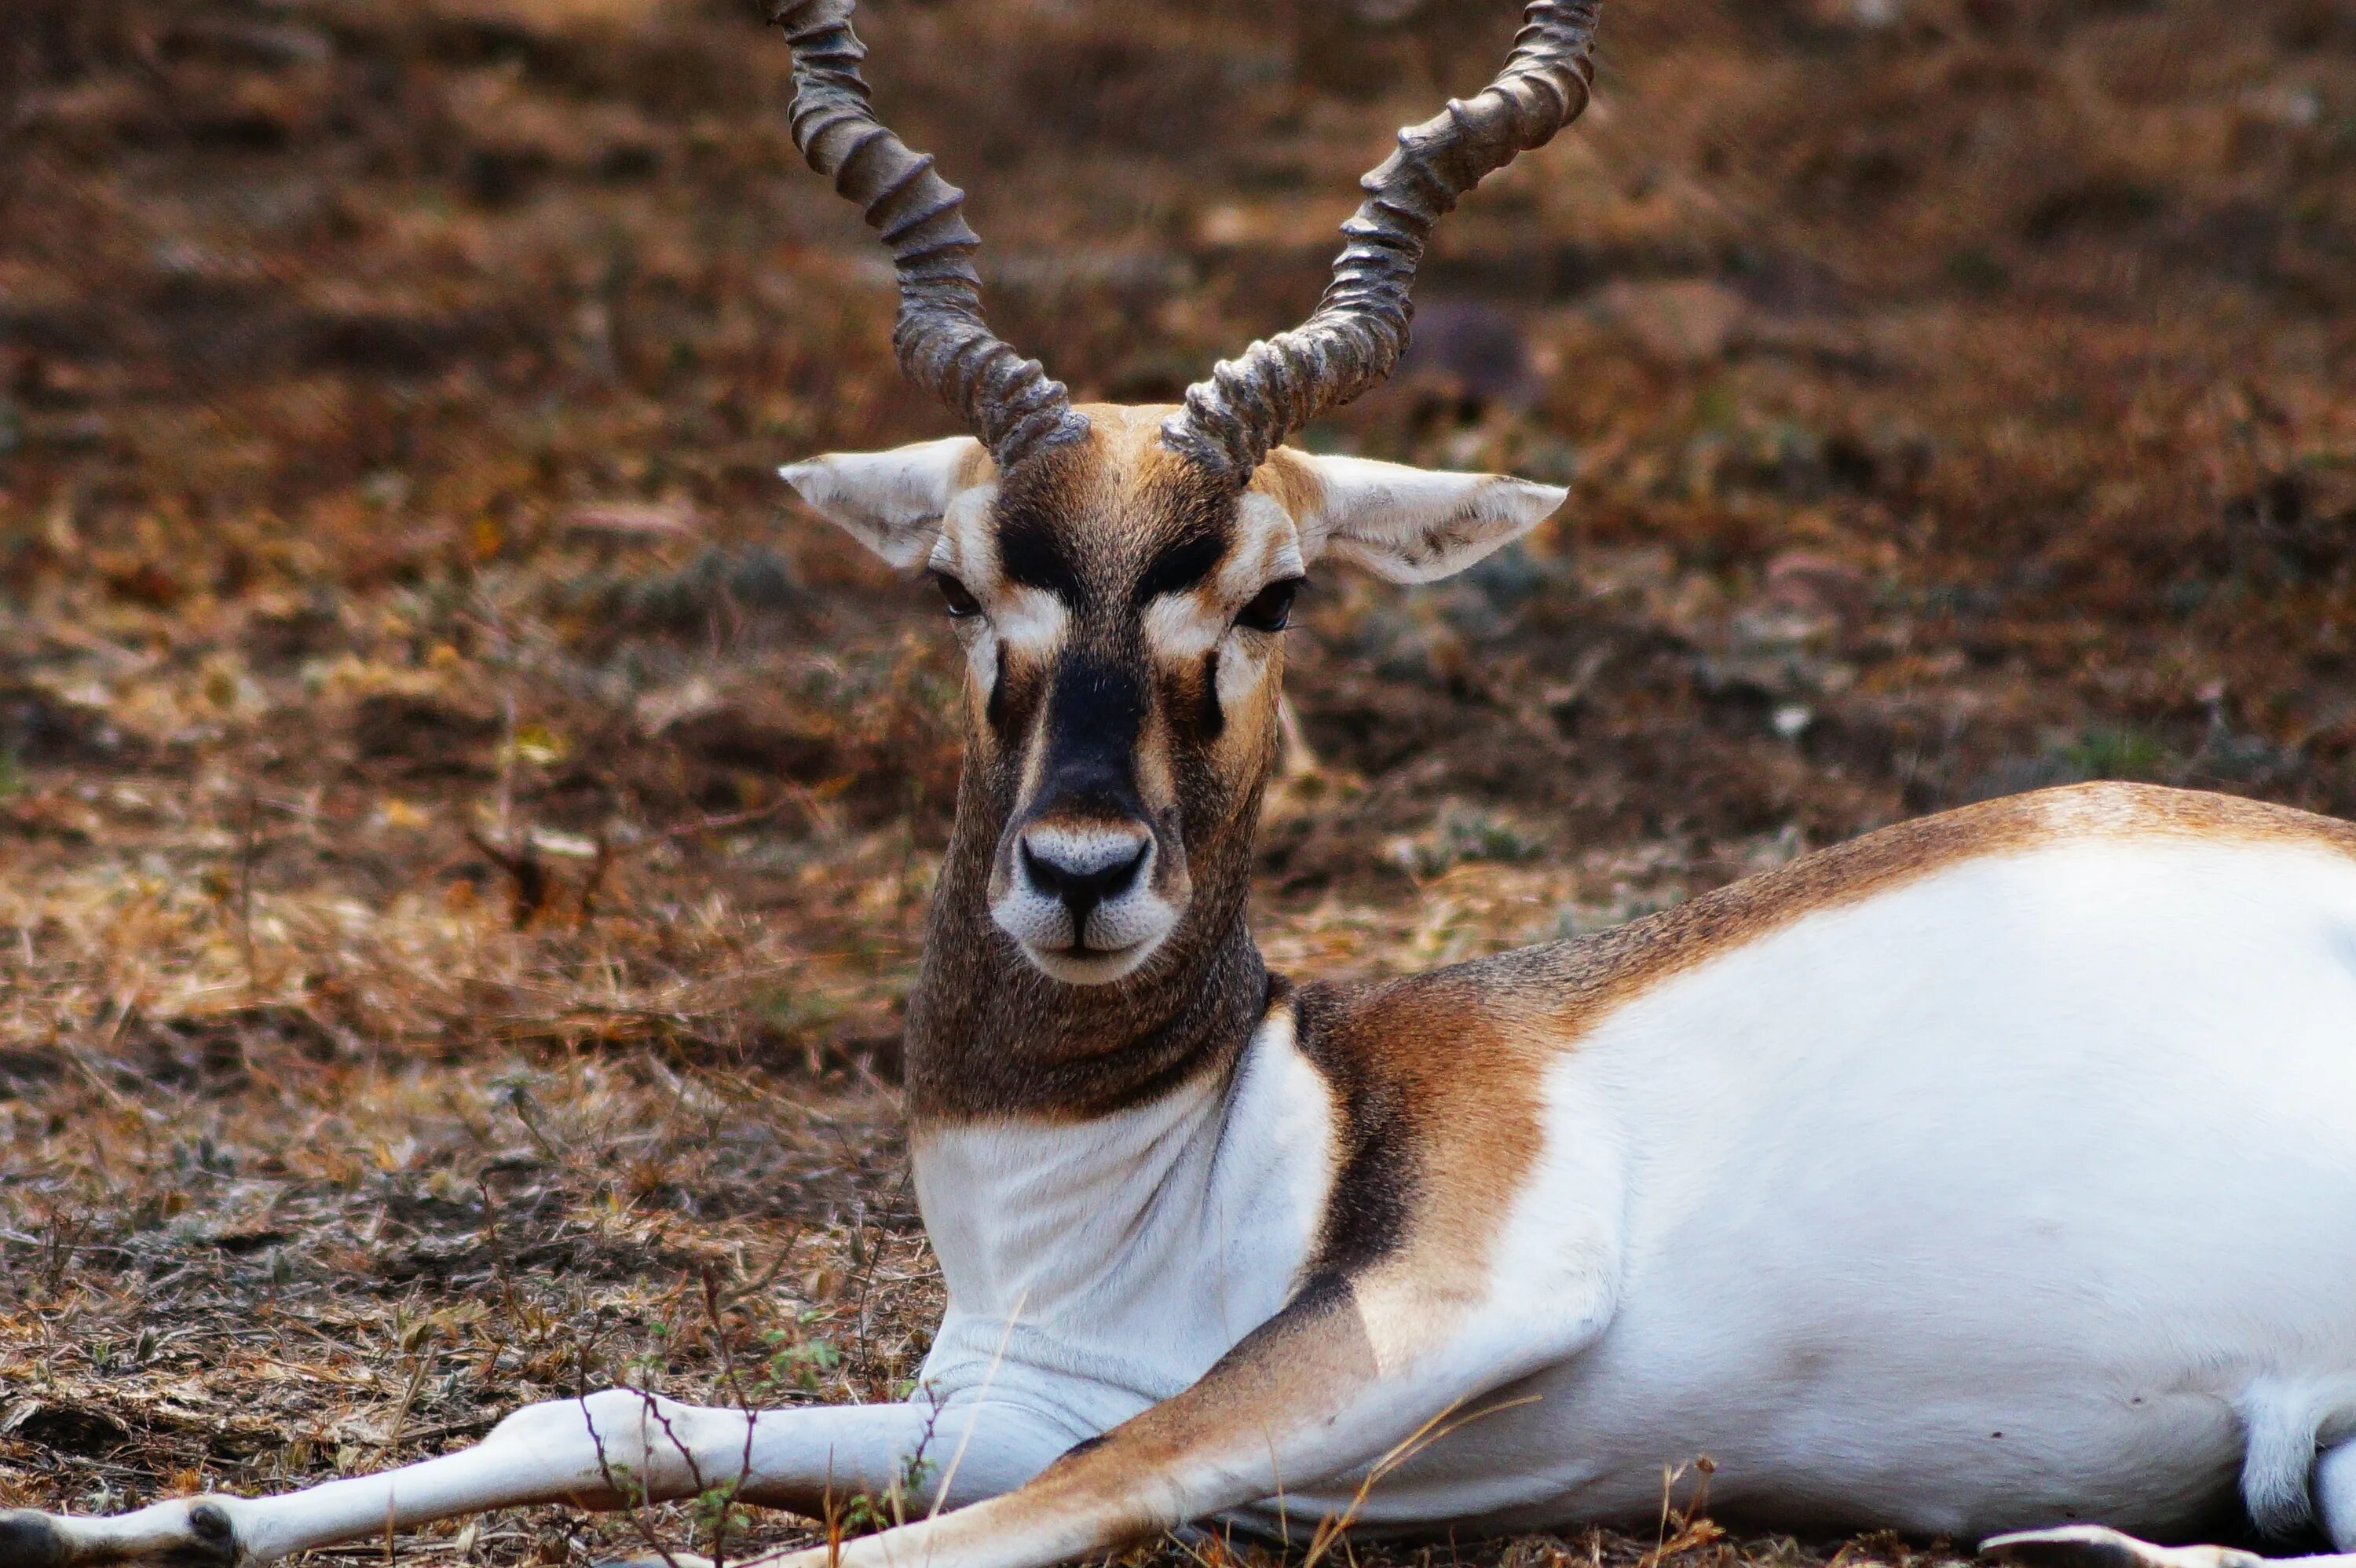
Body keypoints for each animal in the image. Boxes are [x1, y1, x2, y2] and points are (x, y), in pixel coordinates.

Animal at [4, 9, 2356, 1563]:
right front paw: (144, 1521)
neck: (1164, 1170)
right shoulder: (997, 1402)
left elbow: (942, 1541)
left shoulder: (1418, 1315)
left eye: (1275, 591)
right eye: (961, 582)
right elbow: (610, 1402)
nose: (1078, 868)